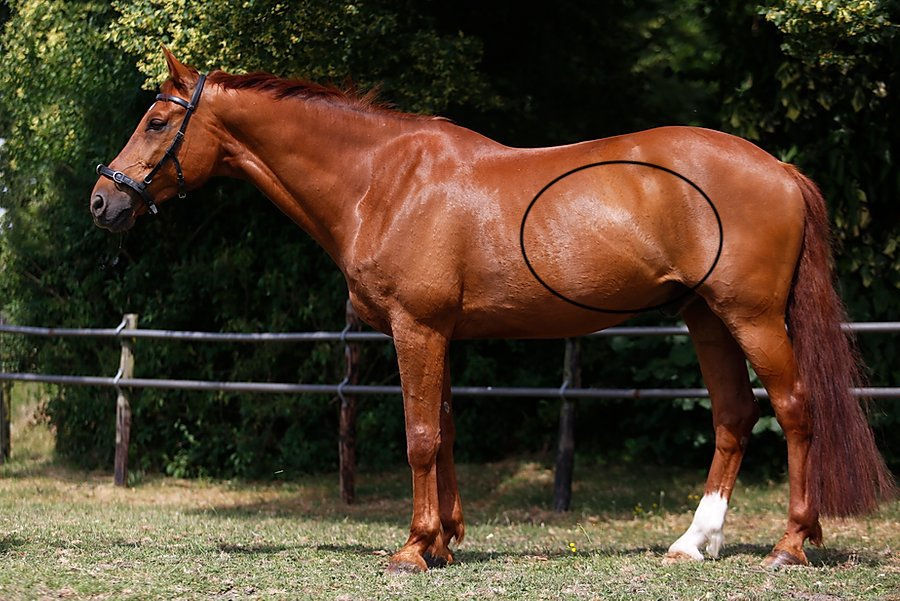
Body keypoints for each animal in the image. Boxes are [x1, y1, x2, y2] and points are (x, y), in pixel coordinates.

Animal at [90, 48, 894, 572]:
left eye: (157, 122)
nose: (103, 200)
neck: (383, 180)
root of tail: (779, 167)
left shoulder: (416, 329)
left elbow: (418, 436)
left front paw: (413, 550)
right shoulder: (441, 333)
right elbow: (444, 432)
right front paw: (444, 539)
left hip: (752, 316)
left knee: (793, 409)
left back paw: (790, 545)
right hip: (704, 316)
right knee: (733, 415)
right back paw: (694, 543)